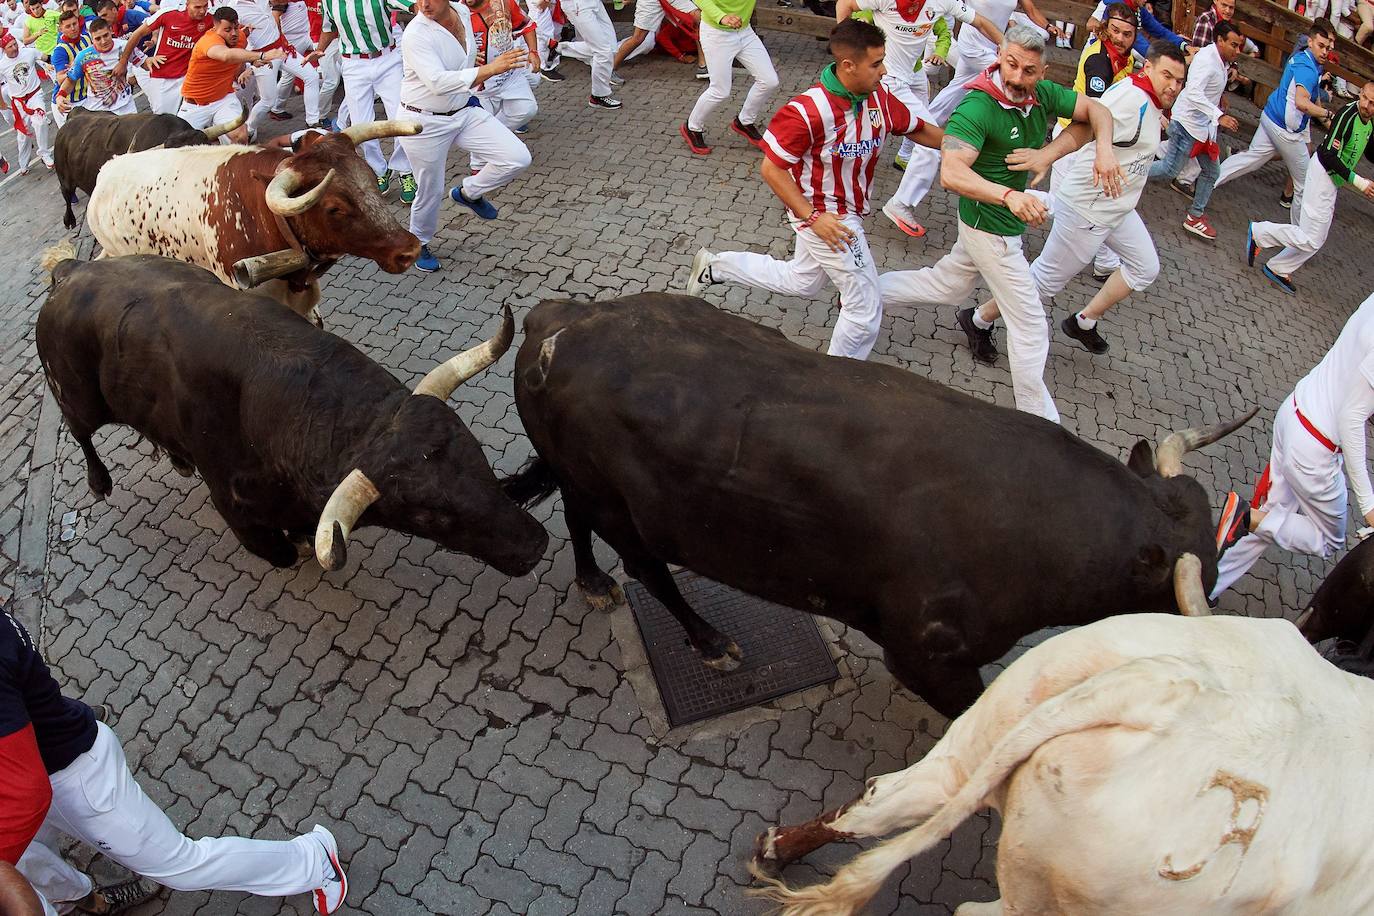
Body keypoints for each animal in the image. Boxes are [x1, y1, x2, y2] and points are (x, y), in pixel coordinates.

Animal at [34, 251, 546, 576]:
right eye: (429, 516)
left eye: (477, 455)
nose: (535, 545)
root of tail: (72, 270)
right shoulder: (233, 503)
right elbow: (277, 550)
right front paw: (293, 548)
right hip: (76, 396)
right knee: (80, 432)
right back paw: (100, 482)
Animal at [508, 298, 1258, 719]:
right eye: (1186, 593)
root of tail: (559, 319)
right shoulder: (926, 655)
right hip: (619, 503)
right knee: (647, 567)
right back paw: (711, 641)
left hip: (581, 479)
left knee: (576, 520)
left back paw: (593, 582)